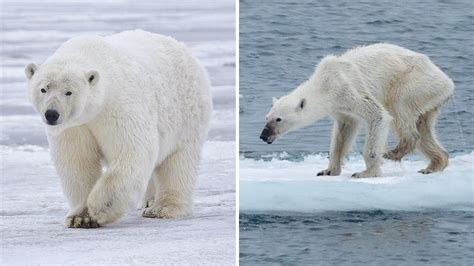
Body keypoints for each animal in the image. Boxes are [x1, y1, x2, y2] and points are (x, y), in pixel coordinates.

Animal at [25, 29, 211, 229]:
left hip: (187, 115)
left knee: (178, 162)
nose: (52, 114)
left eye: (69, 92)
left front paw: (99, 208)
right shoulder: (74, 127)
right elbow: (77, 162)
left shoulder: (118, 106)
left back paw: (163, 208)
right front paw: (79, 217)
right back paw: (148, 201)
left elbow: (132, 151)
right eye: (43, 89)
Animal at [262, 43, 454, 178]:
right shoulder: (340, 107)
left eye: (278, 119)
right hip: (429, 97)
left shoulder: (348, 90)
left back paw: (394, 152)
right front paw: (328, 170)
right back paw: (433, 165)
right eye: (267, 117)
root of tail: (447, 82)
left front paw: (366, 172)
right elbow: (343, 132)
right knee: (423, 127)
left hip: (414, 83)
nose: (263, 135)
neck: (325, 83)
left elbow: (378, 116)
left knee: (399, 108)